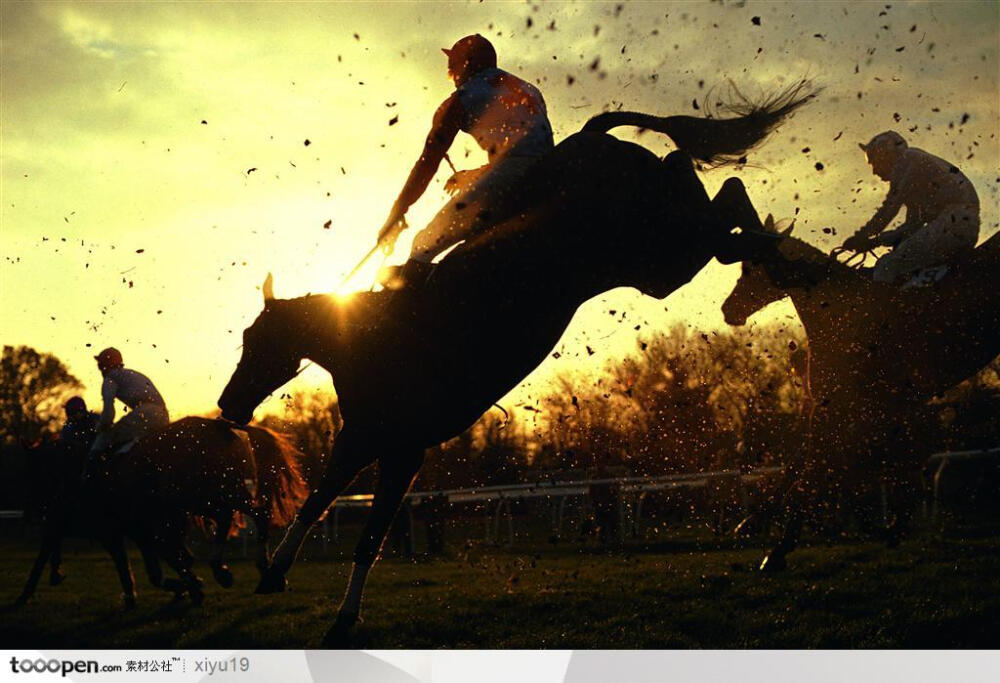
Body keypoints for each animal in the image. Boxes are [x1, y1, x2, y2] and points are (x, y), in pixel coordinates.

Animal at [219, 81, 820, 648]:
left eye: (256, 339)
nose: (228, 404)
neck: (367, 337)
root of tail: (593, 138)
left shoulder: (397, 445)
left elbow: (366, 536)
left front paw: (341, 619)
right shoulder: (368, 438)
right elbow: (319, 501)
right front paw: (275, 574)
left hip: (663, 251)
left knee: (723, 213)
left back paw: (778, 247)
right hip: (658, 257)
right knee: (706, 191)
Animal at [720, 227, 1000, 568]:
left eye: (751, 267)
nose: (728, 309)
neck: (840, 312)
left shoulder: (842, 408)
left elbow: (813, 471)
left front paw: (778, 549)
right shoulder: (848, 407)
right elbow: (801, 464)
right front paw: (753, 522)